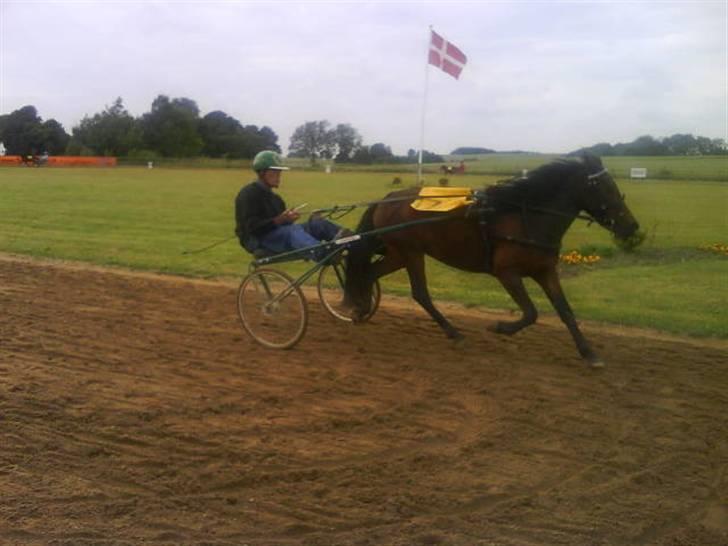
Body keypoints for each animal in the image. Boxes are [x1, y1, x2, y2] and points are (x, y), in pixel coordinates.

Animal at [344, 153, 640, 366]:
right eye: (604, 187)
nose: (632, 226)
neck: (525, 216)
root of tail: (387, 199)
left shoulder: (545, 270)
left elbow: (565, 311)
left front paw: (589, 352)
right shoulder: (506, 272)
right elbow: (531, 312)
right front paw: (501, 327)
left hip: (398, 253)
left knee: (369, 273)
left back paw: (362, 309)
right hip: (411, 252)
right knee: (420, 293)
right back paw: (453, 332)